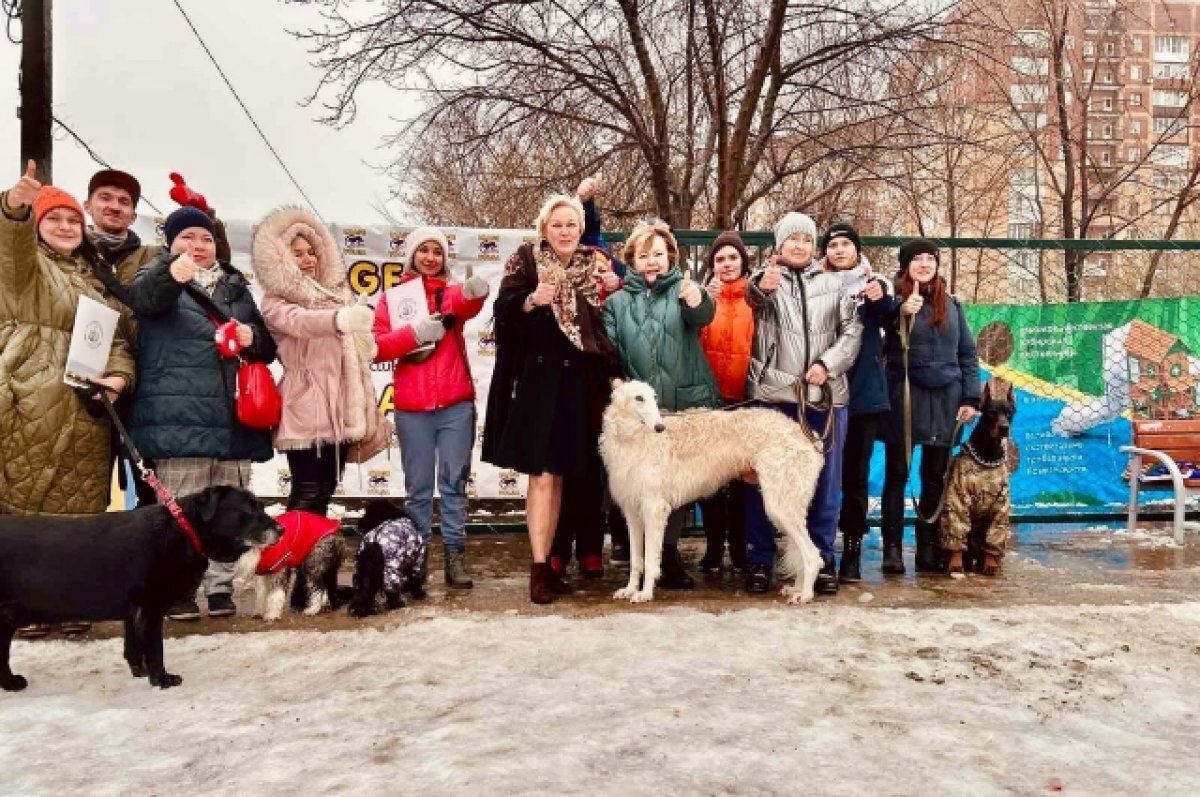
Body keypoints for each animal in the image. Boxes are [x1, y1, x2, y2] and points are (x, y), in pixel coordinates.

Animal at [0, 484, 278, 691]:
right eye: (248, 510)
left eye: (261, 506)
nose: (282, 528)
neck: (183, 530)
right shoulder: (150, 606)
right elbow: (155, 648)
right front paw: (162, 679)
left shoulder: (133, 610)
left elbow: (133, 645)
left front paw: (140, 671)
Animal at [600, 379, 825, 604]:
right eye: (639, 398)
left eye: (654, 398)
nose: (660, 427)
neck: (632, 437)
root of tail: (809, 437)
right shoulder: (632, 512)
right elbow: (636, 561)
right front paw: (629, 590)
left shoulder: (654, 508)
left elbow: (649, 560)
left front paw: (645, 594)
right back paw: (796, 589)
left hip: (780, 507)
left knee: (813, 555)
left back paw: (805, 594)